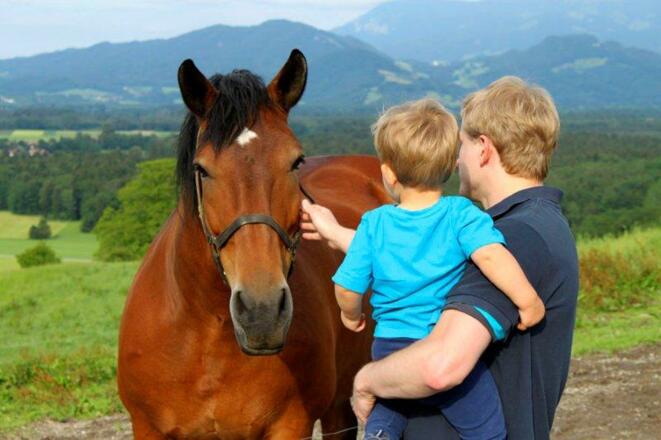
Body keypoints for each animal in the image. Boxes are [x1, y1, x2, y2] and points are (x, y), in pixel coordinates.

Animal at [117, 49, 390, 439]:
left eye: (296, 161)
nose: (262, 313)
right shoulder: (148, 428)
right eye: (201, 169)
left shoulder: (289, 426)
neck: (207, 334)